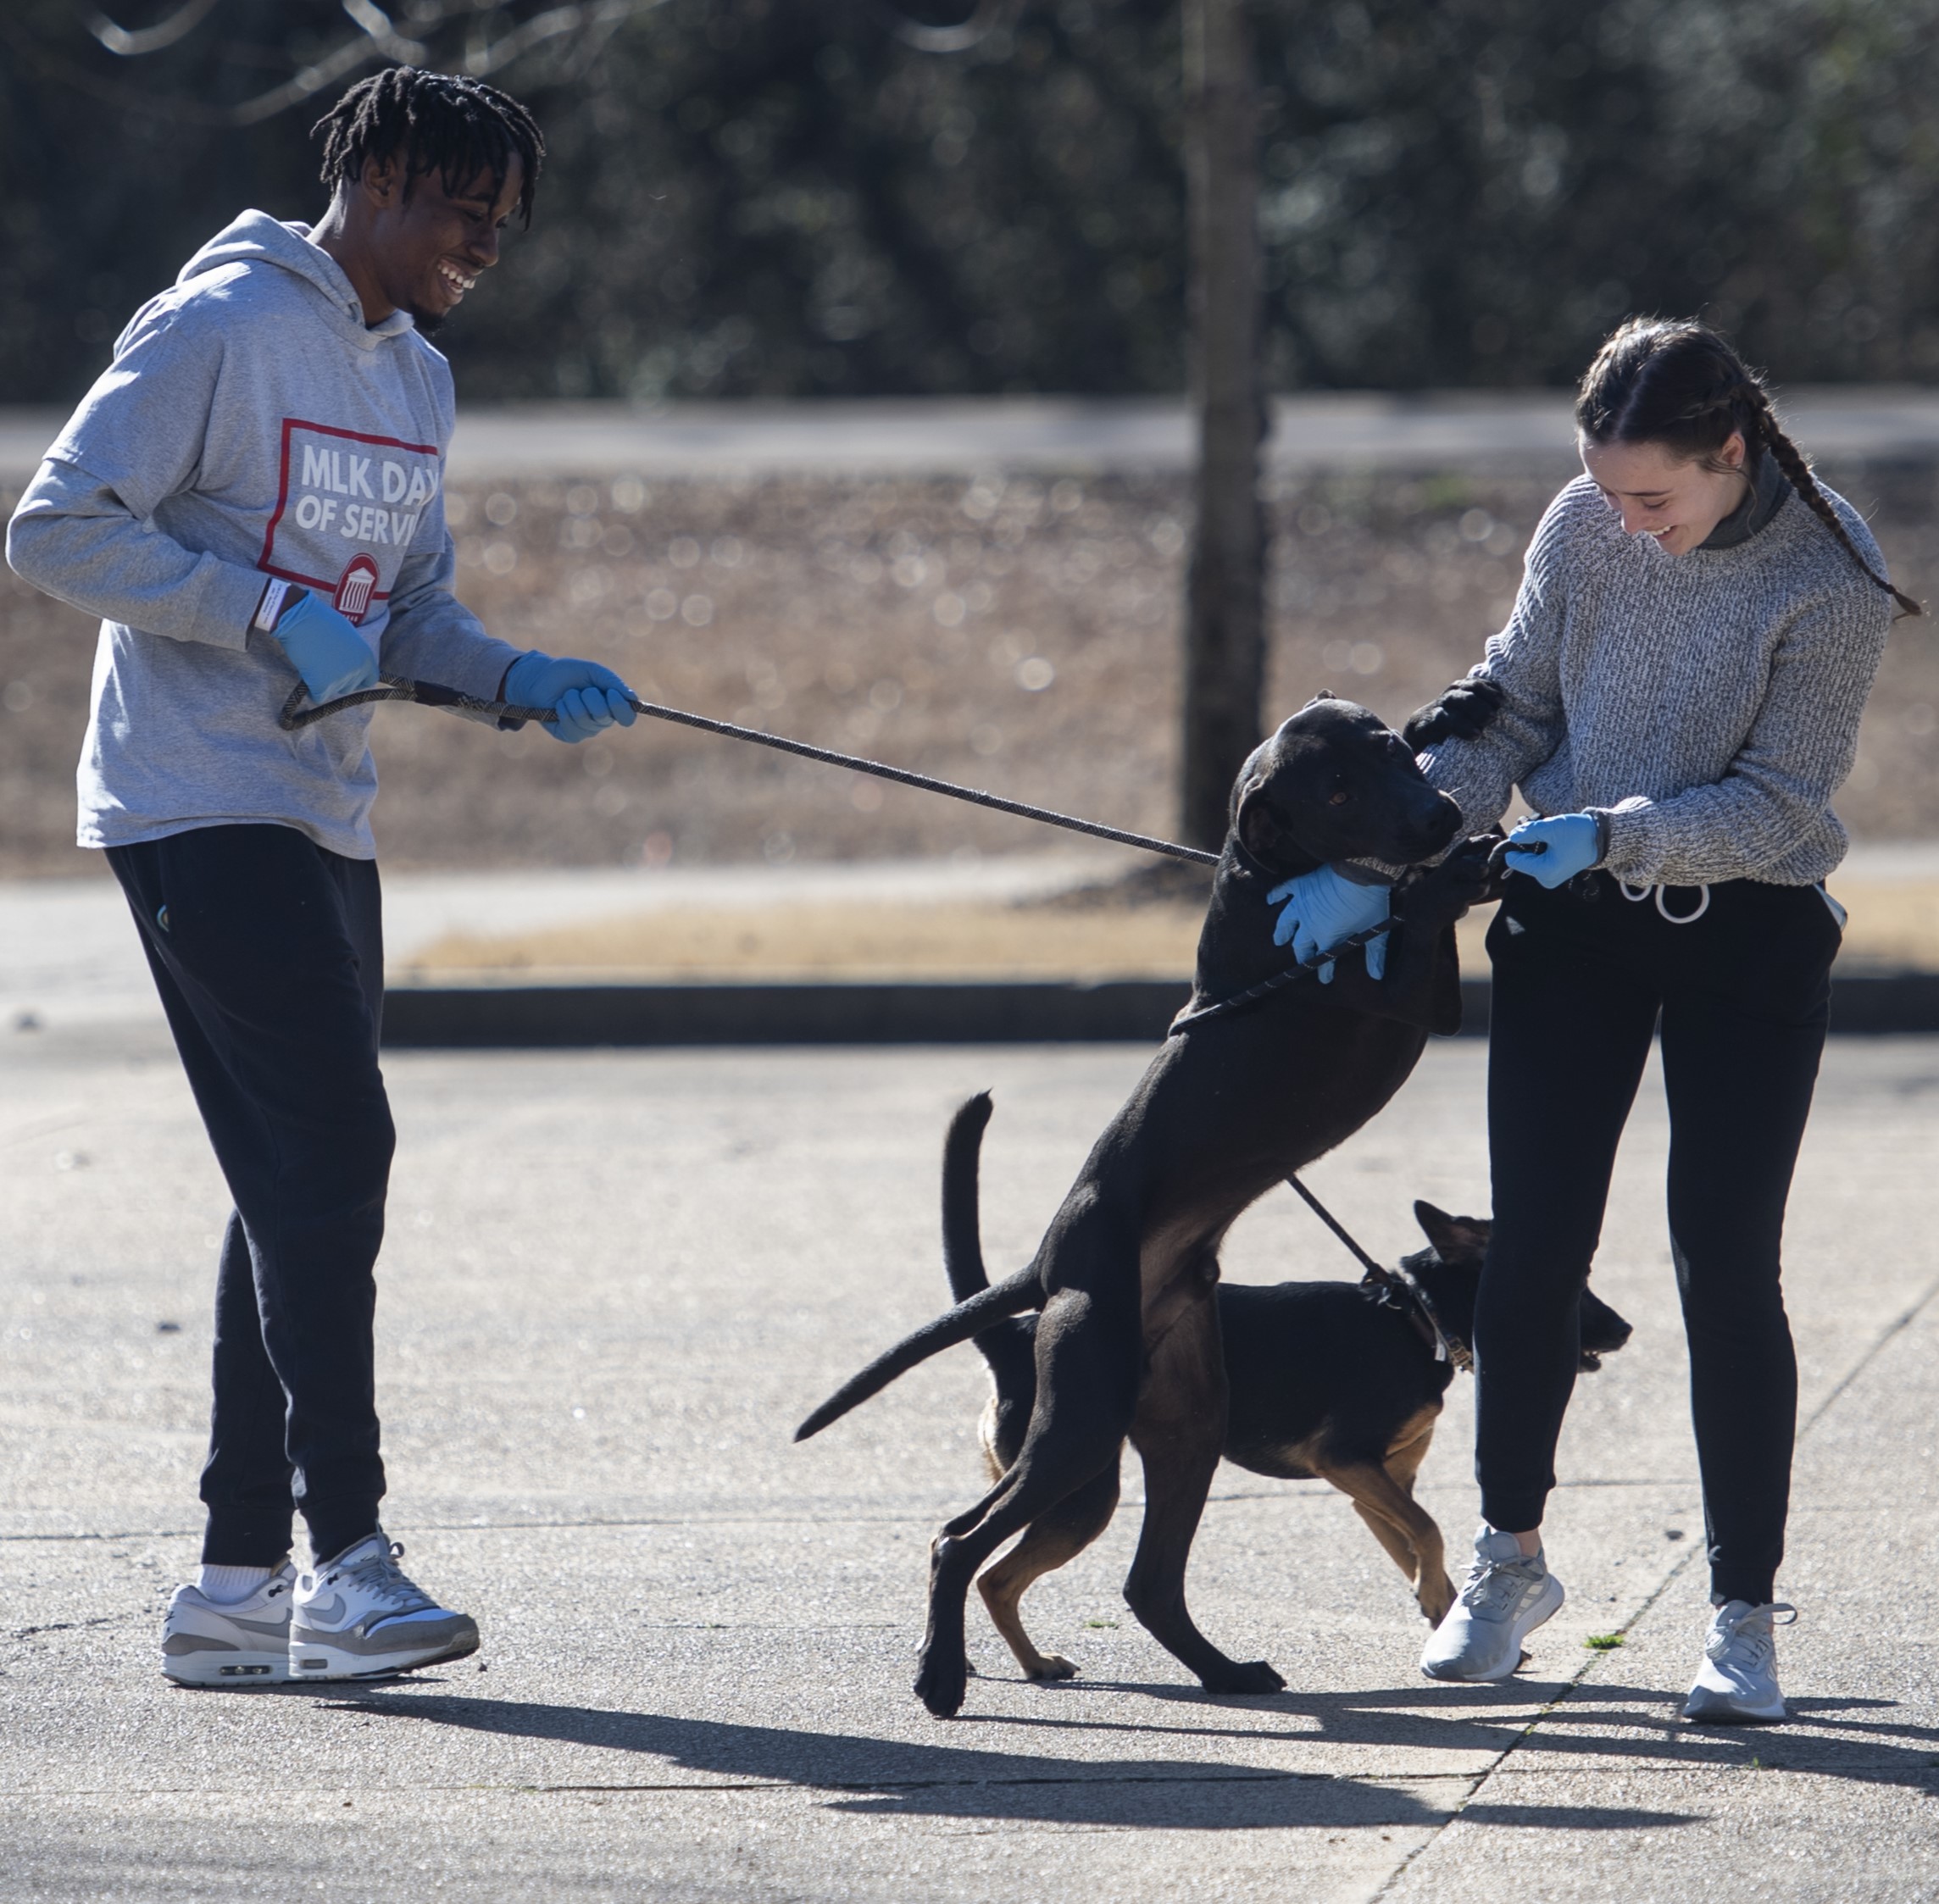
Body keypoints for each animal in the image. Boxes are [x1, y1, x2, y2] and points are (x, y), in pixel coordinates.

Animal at [803, 702, 1481, 1729]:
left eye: (1392, 751)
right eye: (1333, 791)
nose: (1442, 815)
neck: (1275, 880)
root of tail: (1048, 1267)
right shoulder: (1403, 990)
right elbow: (1418, 916)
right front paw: (1459, 873)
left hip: (1184, 1419)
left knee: (1148, 1584)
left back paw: (1224, 1672)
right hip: (1079, 1423)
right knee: (960, 1539)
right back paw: (942, 1674)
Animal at [938, 1132, 1636, 1683]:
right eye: (1579, 1287)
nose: (1627, 1328)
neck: (1414, 1318)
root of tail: (1014, 1338)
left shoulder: (1373, 1483)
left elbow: (1415, 1538)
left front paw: (1444, 1619)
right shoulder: (1345, 1460)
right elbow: (1430, 1529)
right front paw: (1435, 1600)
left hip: (1063, 1491)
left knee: (992, 1572)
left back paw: (1025, 1663)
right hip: (1083, 1491)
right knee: (991, 1568)